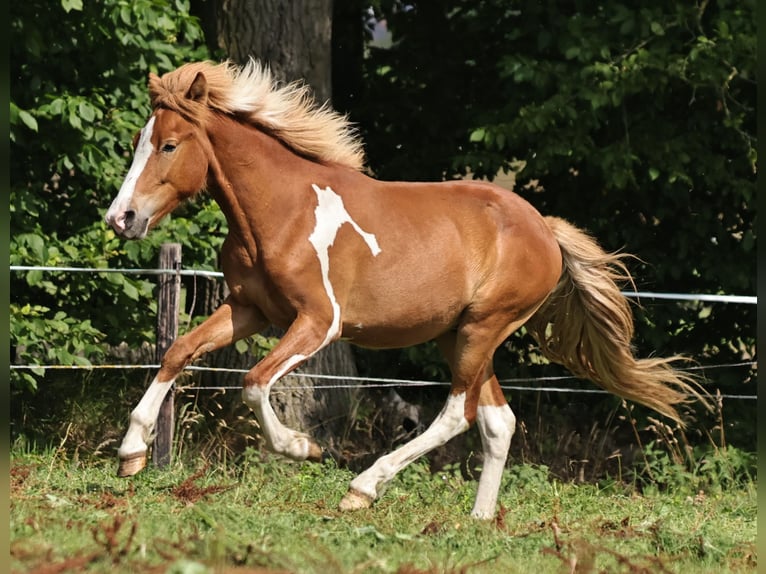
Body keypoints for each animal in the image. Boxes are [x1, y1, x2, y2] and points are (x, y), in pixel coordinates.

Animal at [104, 59, 705, 519]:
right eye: (138, 142)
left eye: (169, 145)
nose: (121, 218)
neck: (281, 210)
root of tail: (544, 228)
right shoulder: (249, 308)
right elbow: (178, 350)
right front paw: (131, 452)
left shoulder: (319, 322)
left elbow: (253, 382)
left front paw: (302, 447)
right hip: (457, 335)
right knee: (498, 421)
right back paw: (478, 520)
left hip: (484, 328)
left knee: (458, 414)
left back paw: (363, 488)